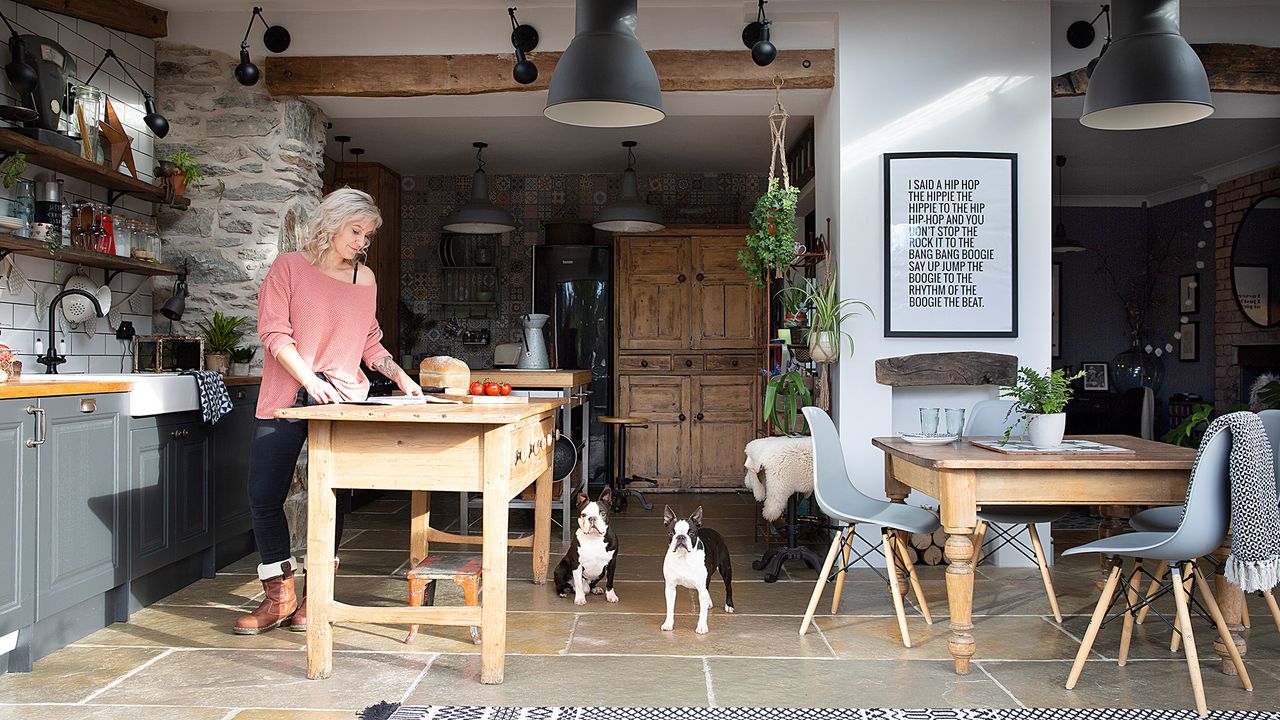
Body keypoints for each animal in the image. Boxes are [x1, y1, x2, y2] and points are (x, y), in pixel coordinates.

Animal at [665, 502, 737, 630]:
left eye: (691, 534)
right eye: (671, 533)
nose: (681, 537)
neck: (683, 557)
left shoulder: (702, 587)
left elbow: (703, 612)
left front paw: (702, 627)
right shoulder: (670, 587)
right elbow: (670, 608)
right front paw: (668, 624)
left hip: (725, 569)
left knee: (728, 587)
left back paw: (729, 605)